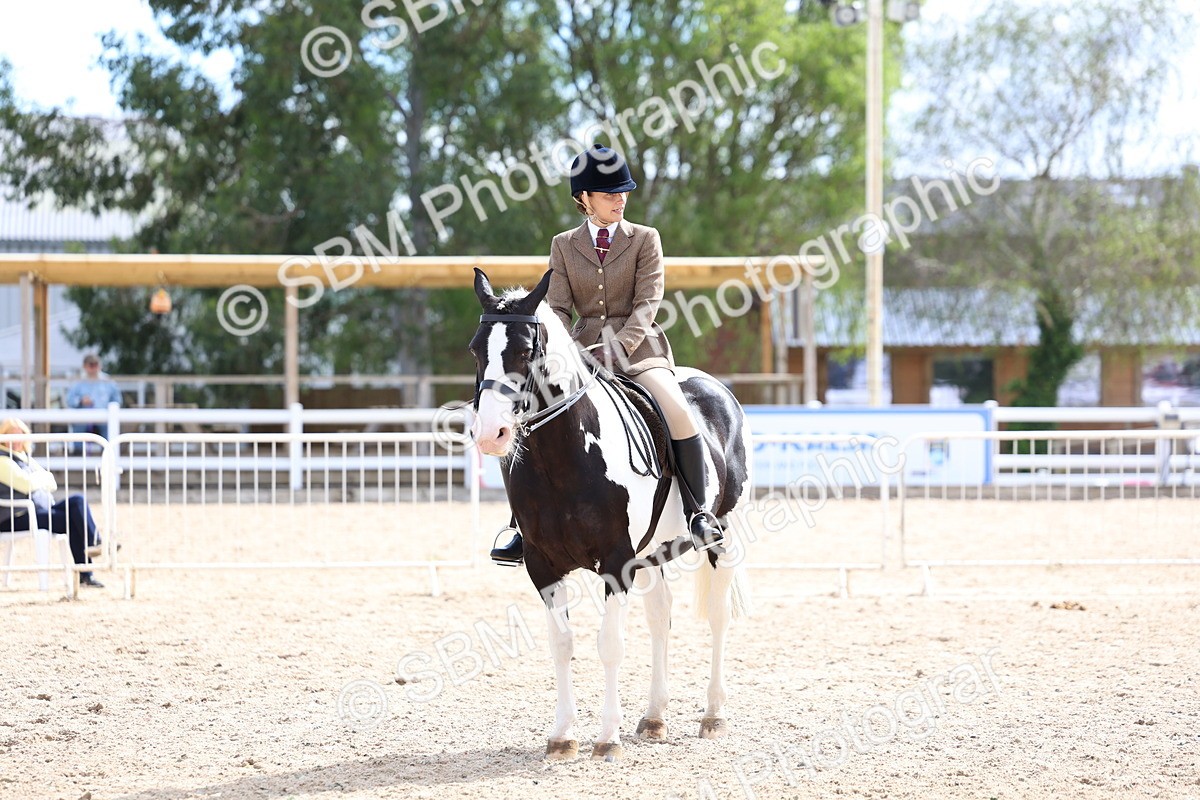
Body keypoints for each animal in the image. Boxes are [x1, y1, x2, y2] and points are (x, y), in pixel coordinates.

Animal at [469, 267, 753, 760]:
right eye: (474, 349)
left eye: (525, 350)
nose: (491, 434)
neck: (562, 459)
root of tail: (714, 387)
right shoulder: (542, 564)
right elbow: (561, 643)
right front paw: (563, 736)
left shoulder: (617, 561)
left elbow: (610, 645)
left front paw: (606, 739)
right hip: (654, 551)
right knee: (661, 616)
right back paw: (654, 717)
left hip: (722, 535)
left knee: (717, 615)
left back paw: (714, 715)